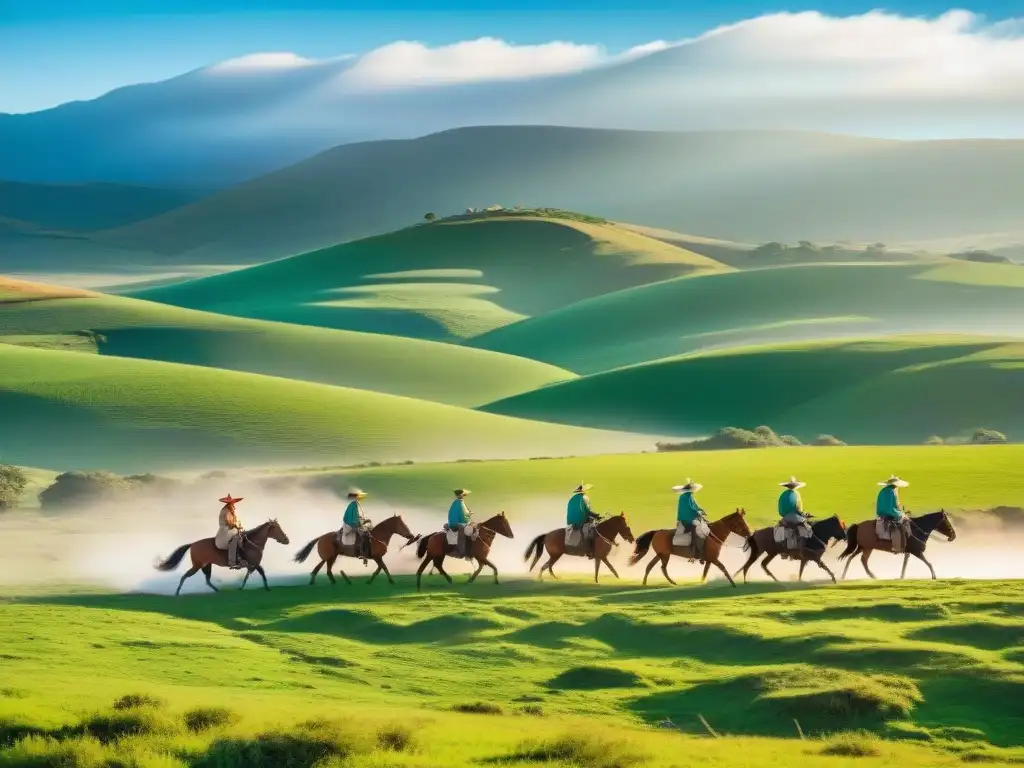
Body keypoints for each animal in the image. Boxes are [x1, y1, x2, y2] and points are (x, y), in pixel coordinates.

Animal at [155, 520, 292, 598]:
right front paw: (266, 588)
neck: (252, 543)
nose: (286, 540)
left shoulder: (252, 565)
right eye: (276, 528)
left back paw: (217, 590)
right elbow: (261, 573)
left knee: (207, 580)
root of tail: (193, 544)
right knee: (185, 576)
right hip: (197, 566)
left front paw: (243, 587)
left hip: (206, 565)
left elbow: (250, 575)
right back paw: (177, 593)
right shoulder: (255, 563)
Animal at [622, 512, 753, 589]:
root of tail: (656, 532)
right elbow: (723, 569)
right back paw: (671, 582)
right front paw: (733, 583)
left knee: (650, 566)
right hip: (664, 555)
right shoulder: (714, 559)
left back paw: (646, 583)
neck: (712, 535)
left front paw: (701, 582)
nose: (749, 533)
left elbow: (705, 572)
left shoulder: (709, 560)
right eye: (740, 522)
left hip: (660, 555)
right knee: (662, 568)